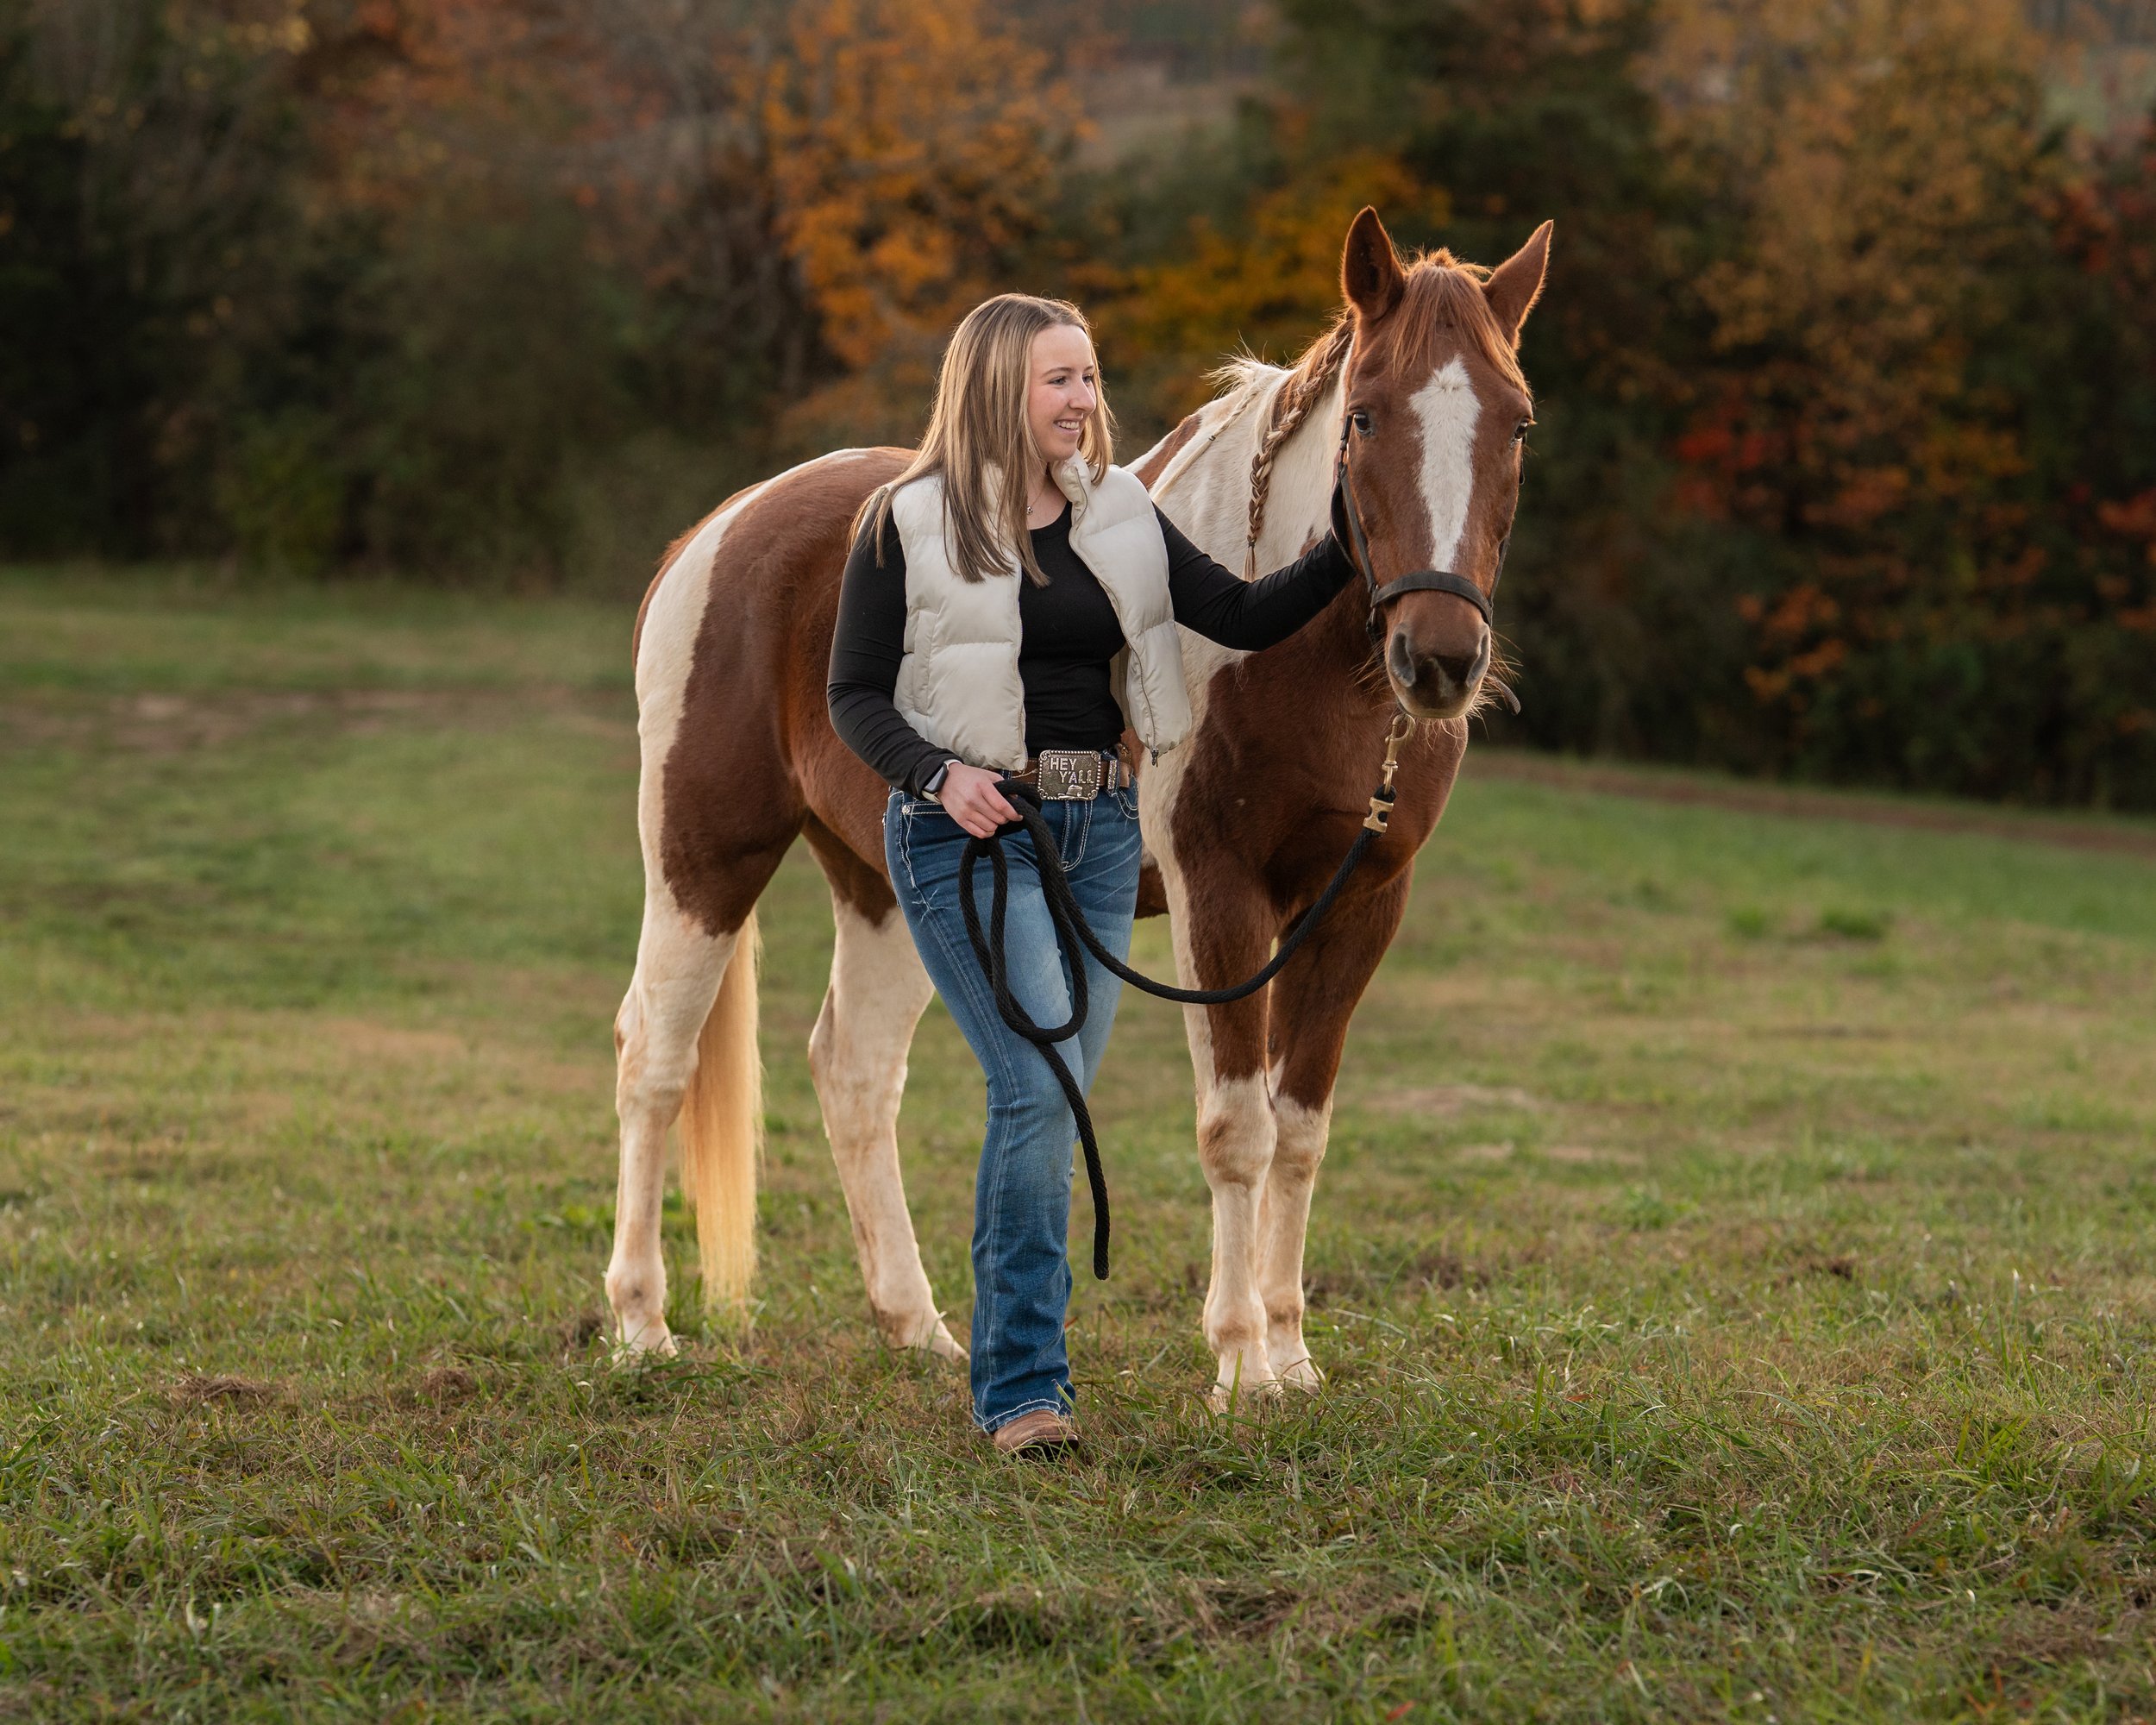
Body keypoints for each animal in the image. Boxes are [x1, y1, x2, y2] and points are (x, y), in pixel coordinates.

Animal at [605, 206, 1551, 1405]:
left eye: (1516, 425)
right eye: (1369, 414)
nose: (1438, 660)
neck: (1300, 666)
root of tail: (721, 528)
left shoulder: (1360, 905)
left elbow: (1299, 1128)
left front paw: (1290, 1354)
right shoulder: (1219, 895)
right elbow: (1235, 1126)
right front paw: (1238, 1364)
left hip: (891, 888)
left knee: (855, 1073)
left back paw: (918, 1327)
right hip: (705, 854)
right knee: (655, 1057)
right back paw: (641, 1325)